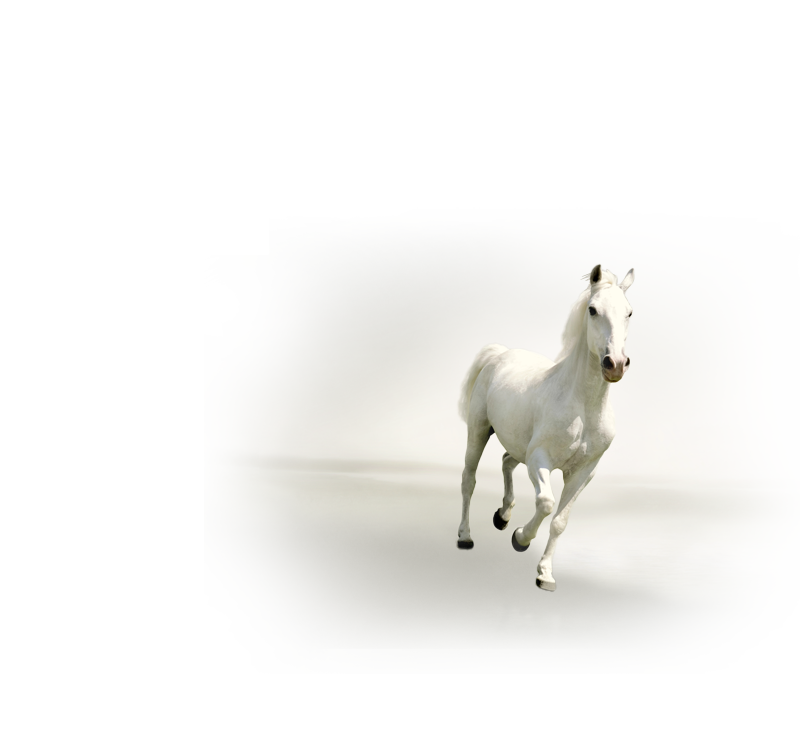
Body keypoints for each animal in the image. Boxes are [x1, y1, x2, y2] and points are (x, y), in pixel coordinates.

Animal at [456, 263, 635, 591]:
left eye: (629, 312)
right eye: (592, 309)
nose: (615, 364)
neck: (583, 407)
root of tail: (500, 353)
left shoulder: (583, 473)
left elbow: (561, 521)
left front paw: (545, 574)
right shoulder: (540, 460)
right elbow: (546, 503)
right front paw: (520, 539)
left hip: (518, 445)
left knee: (506, 461)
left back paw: (502, 516)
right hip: (478, 431)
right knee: (468, 480)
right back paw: (465, 536)